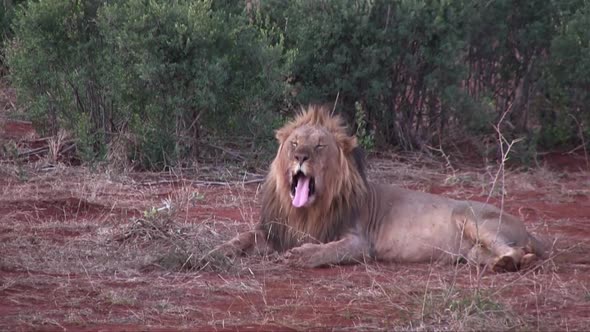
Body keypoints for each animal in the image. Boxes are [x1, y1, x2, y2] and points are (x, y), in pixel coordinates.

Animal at [214, 105, 552, 272]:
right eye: (295, 143)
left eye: (320, 145)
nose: (301, 157)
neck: (306, 212)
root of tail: (527, 228)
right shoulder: (275, 230)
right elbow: (241, 237)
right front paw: (214, 252)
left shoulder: (361, 243)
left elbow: (328, 250)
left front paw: (300, 256)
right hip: (471, 252)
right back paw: (499, 264)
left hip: (474, 219)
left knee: (518, 250)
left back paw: (509, 262)